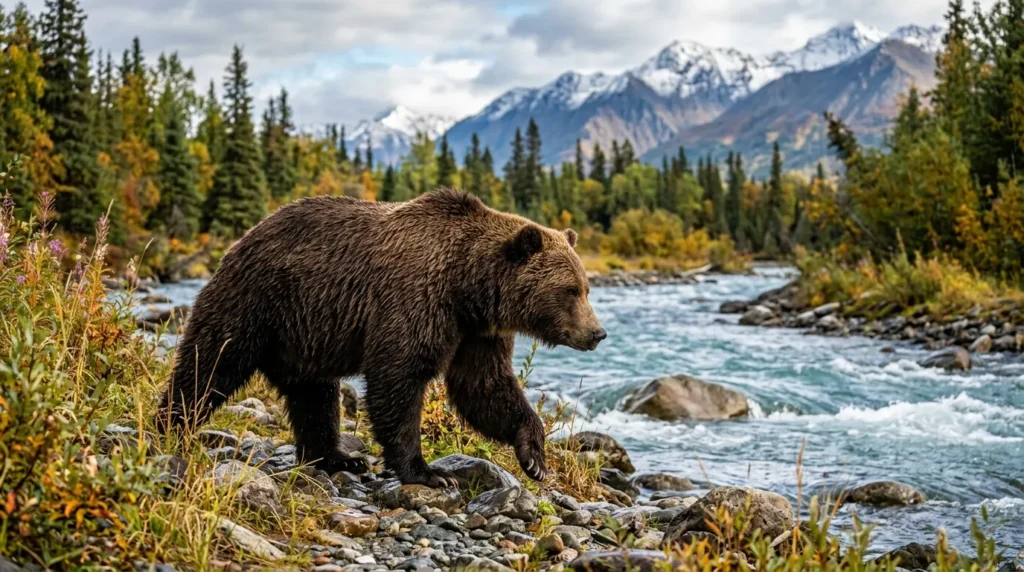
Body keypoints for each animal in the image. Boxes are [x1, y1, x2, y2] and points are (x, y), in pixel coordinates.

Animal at [156, 188, 606, 487]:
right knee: (211, 364)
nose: (597, 333)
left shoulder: (476, 332)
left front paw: (534, 456)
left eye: (586, 287)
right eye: (570, 290)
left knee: (315, 397)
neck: (467, 287)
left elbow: (484, 386)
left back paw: (336, 459)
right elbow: (398, 378)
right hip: (257, 302)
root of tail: (240, 240)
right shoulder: (415, 299)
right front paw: (427, 472)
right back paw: (171, 426)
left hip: (302, 336)